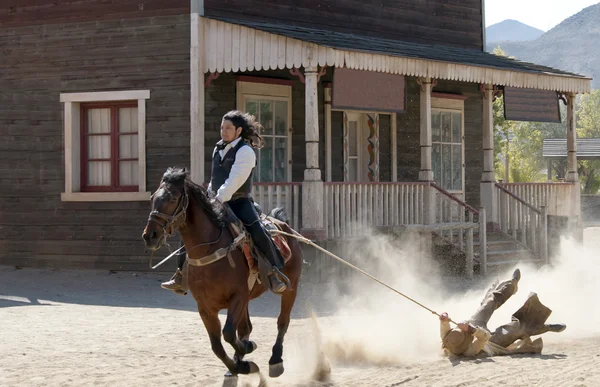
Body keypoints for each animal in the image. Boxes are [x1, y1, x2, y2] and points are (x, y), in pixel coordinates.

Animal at [142, 167, 304, 382]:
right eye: (153, 198)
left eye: (173, 198)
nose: (150, 235)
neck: (210, 250)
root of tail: (285, 226)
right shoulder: (205, 307)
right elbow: (217, 345)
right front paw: (241, 365)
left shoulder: (238, 296)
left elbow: (228, 333)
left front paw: (246, 353)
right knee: (246, 328)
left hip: (290, 289)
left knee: (282, 322)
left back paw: (275, 359)